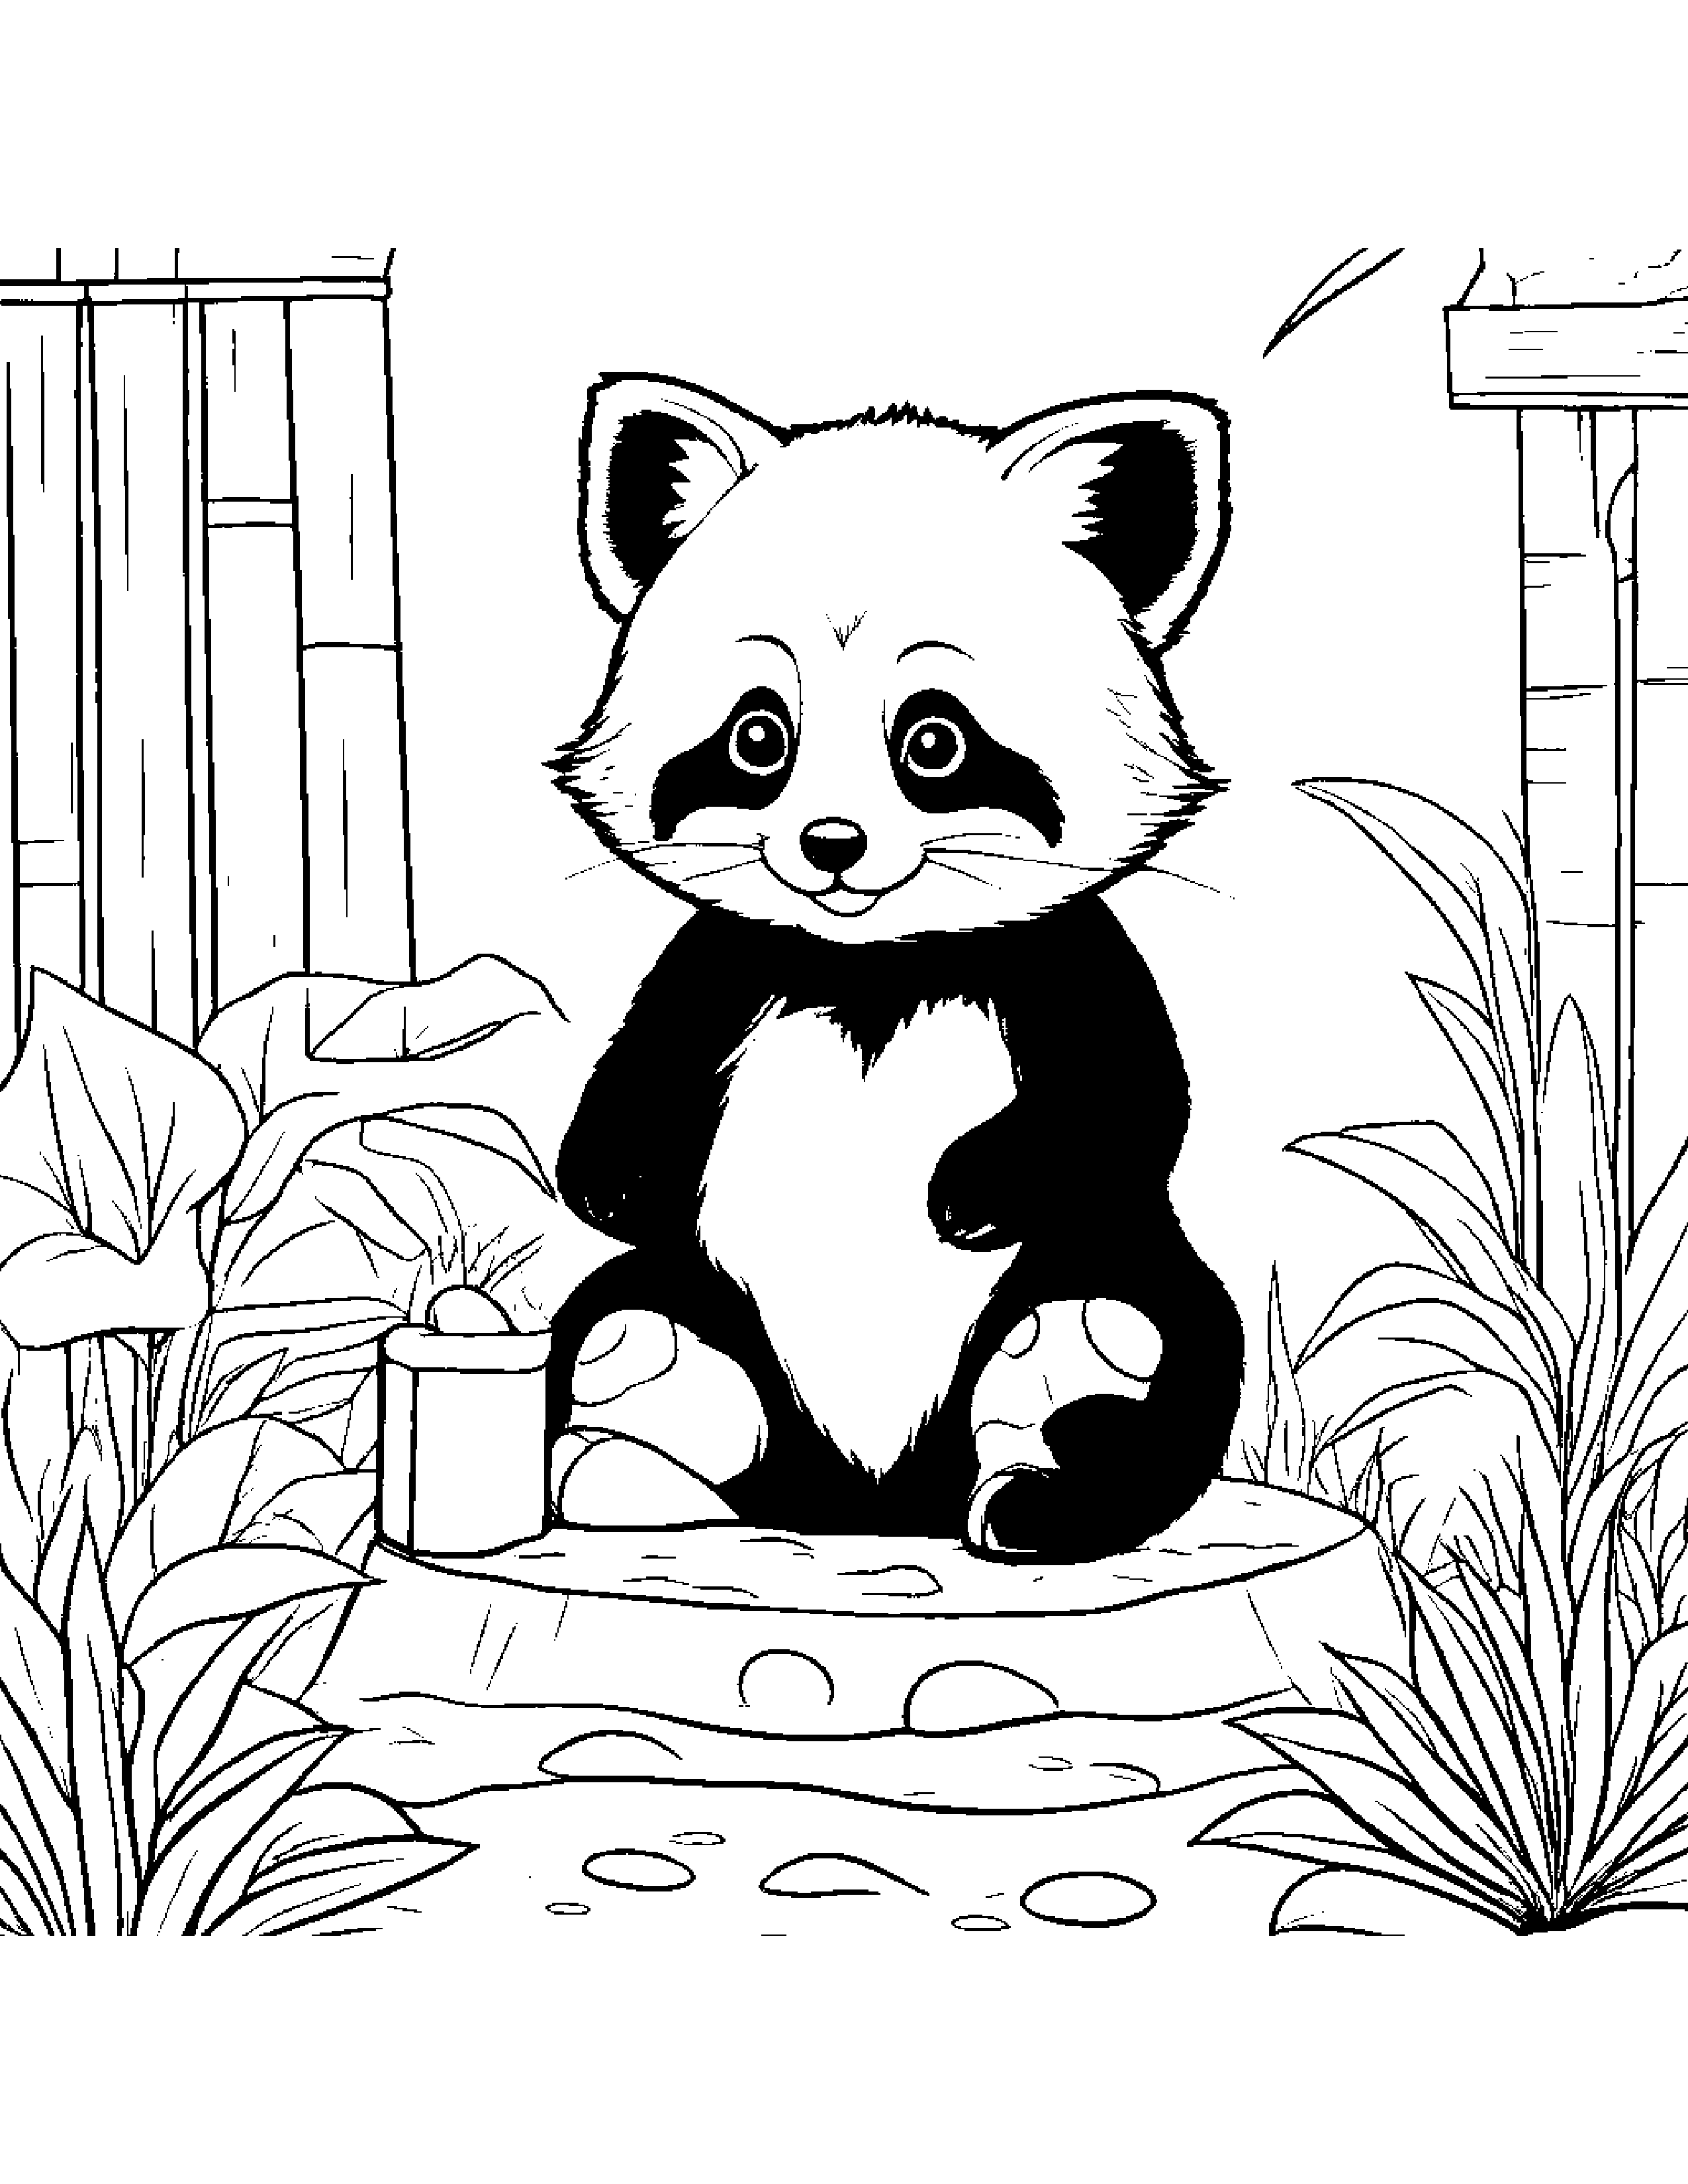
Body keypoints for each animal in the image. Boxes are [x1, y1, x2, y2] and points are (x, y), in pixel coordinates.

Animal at [545, 374, 1243, 1562]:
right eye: (758, 737)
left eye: (934, 743)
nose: (832, 846)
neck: (874, 969)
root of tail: (874, 1503)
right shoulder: (729, 964)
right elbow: (638, 1072)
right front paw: (619, 1177)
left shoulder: (1064, 963)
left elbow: (1131, 1098)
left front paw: (966, 1188)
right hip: (713, 1308)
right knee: (626, 1331)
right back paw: (616, 1472)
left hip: (1094, 1264)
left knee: (1126, 1344)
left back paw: (1037, 1493)